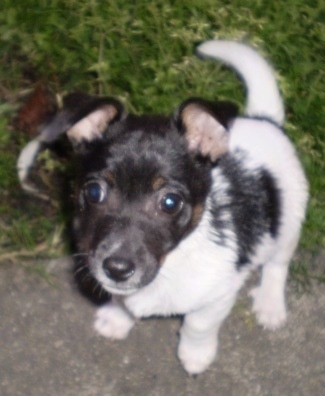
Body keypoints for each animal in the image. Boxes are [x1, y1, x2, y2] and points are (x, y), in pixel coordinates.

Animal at [22, 41, 306, 374]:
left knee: (277, 264)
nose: (117, 269)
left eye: (170, 202)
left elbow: (199, 323)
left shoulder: (220, 293)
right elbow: (121, 301)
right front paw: (116, 319)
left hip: (290, 221)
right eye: (93, 192)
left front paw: (195, 354)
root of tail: (264, 120)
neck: (172, 261)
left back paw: (270, 305)